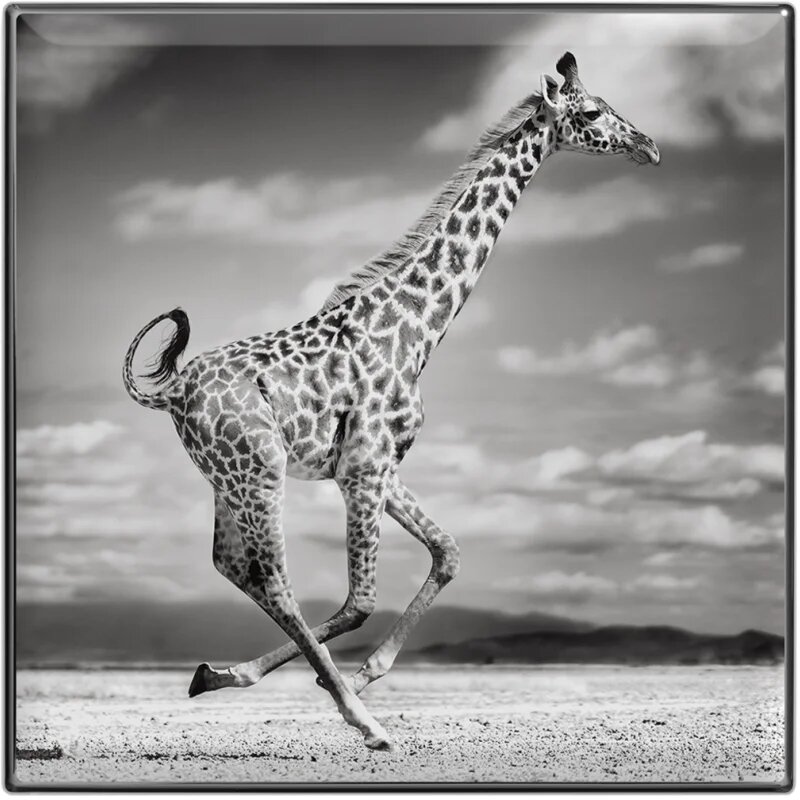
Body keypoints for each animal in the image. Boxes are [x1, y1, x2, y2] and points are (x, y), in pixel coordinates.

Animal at [123, 52, 659, 751]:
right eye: (591, 112)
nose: (650, 146)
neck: (419, 327)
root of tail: (172, 392)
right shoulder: (363, 469)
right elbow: (360, 600)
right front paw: (353, 690)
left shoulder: (379, 465)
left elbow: (448, 552)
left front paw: (358, 672)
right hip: (259, 471)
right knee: (274, 578)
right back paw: (364, 721)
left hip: (227, 478)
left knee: (232, 565)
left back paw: (219, 675)